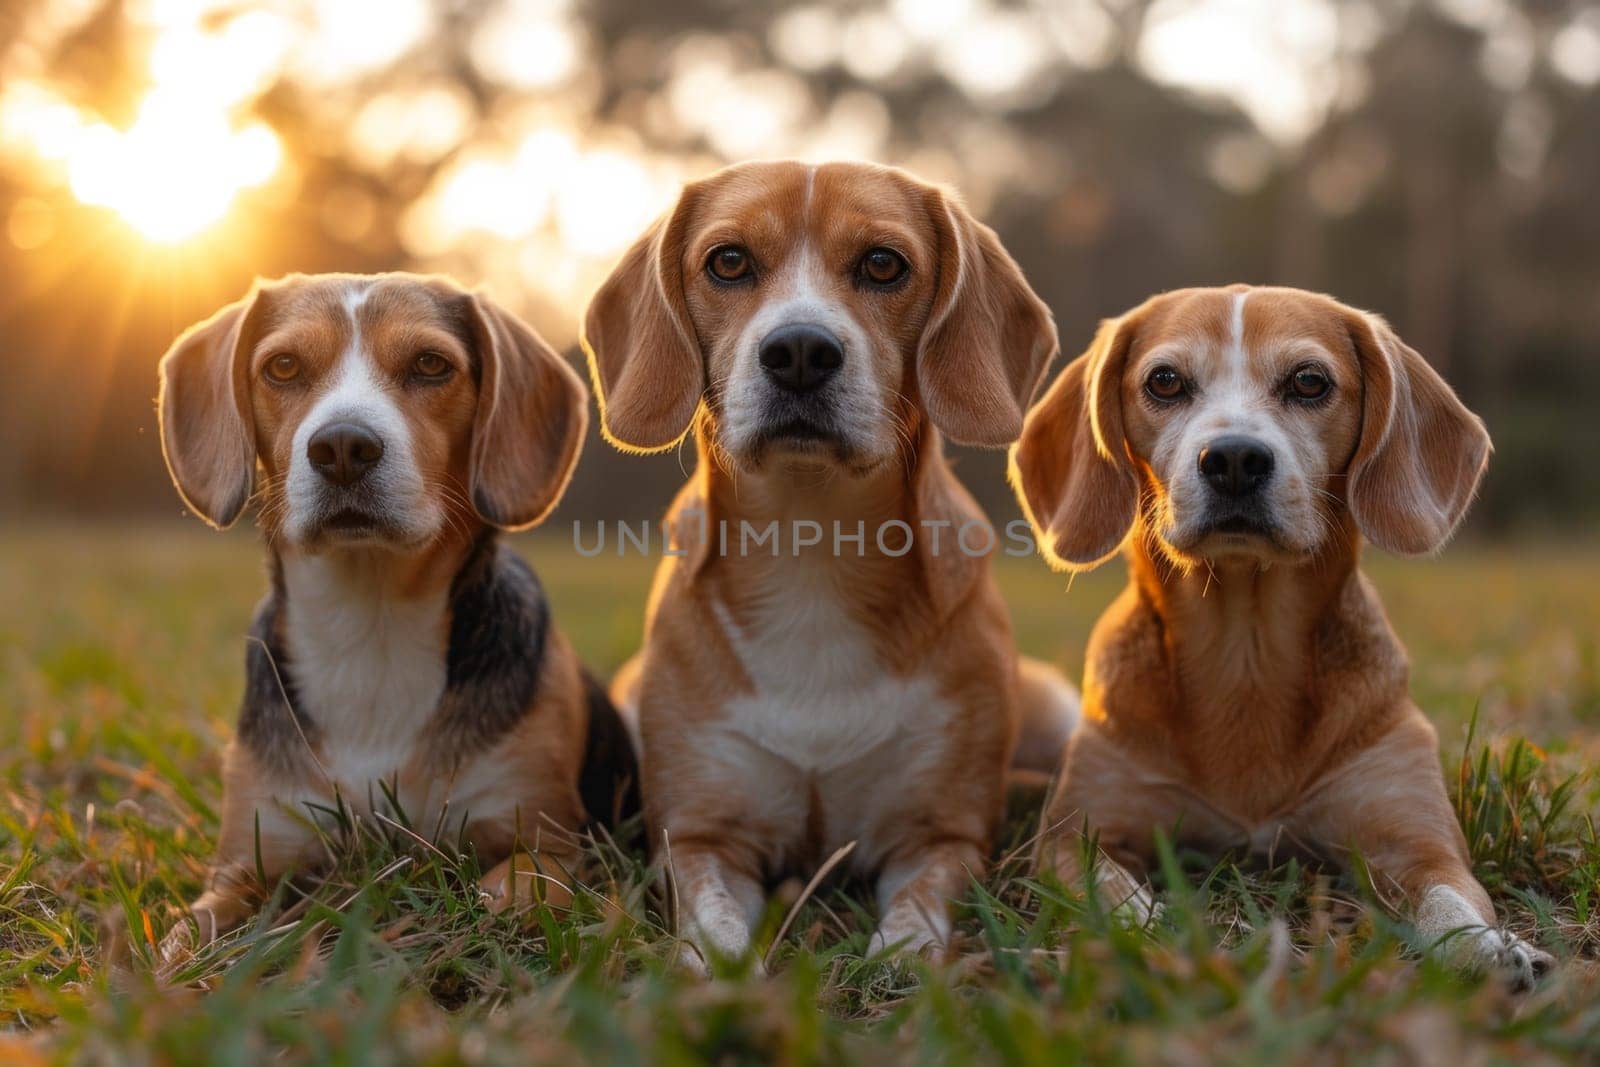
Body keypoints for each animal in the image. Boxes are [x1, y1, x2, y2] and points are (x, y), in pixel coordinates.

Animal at [156, 271, 636, 947]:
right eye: (283, 366)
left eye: (431, 364)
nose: (342, 446)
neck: (369, 627)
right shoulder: (246, 862)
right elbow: (183, 939)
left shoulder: (553, 843)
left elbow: (513, 889)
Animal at [582, 163, 1081, 972]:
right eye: (728, 261)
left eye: (883, 264)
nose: (799, 350)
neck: (812, 549)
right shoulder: (700, 836)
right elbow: (715, 923)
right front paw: (728, 971)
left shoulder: (940, 834)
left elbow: (918, 910)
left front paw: (899, 955)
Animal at [1011, 283, 1548, 985]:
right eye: (1164, 381)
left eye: (1309, 381)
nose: (1234, 458)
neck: (1247, 651)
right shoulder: (1075, 835)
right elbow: (1107, 892)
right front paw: (1146, 934)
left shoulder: (1417, 841)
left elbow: (1448, 900)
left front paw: (1486, 948)